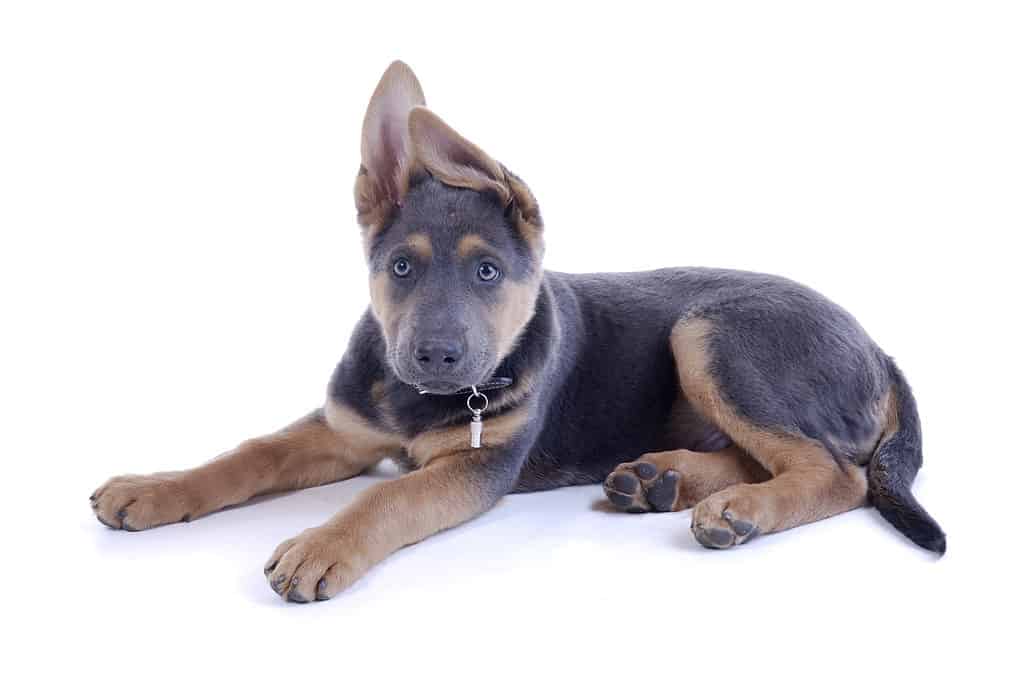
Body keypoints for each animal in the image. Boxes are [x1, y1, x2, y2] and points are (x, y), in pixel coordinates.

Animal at [92, 60, 945, 601]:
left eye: (487, 271)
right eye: (400, 266)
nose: (436, 356)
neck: (418, 402)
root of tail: (879, 348)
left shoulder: (479, 465)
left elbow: (388, 497)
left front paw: (322, 544)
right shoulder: (342, 428)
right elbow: (249, 453)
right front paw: (153, 488)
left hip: (712, 334)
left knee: (833, 472)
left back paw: (737, 510)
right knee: (775, 454)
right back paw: (660, 479)